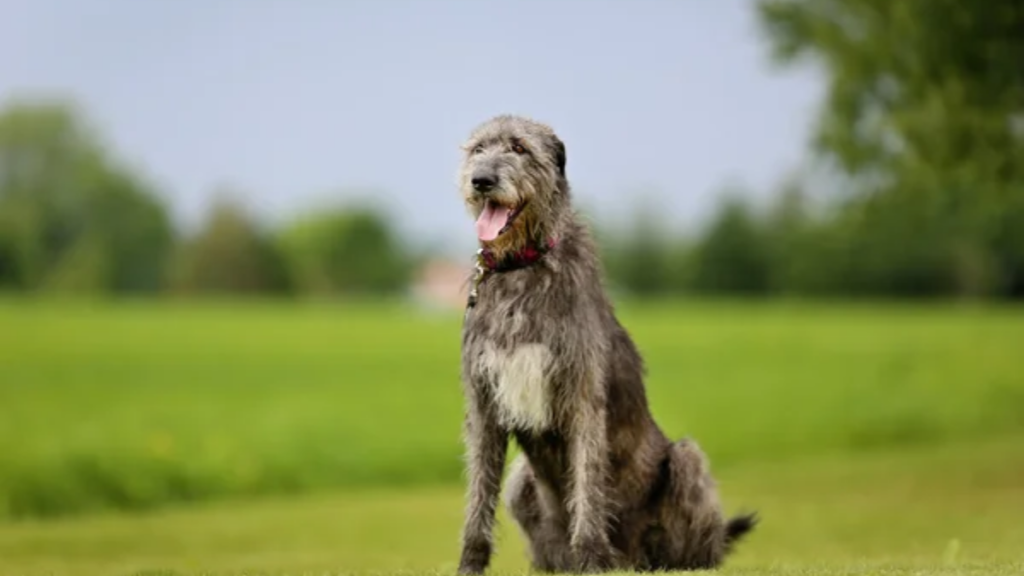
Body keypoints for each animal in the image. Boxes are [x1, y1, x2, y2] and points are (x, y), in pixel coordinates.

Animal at [452, 114, 757, 569]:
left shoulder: (581, 395)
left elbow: (587, 483)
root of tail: (633, 558)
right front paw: (470, 564)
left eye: (519, 148)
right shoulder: (484, 402)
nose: (482, 180)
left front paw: (592, 558)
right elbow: (478, 494)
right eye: (477, 149)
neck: (522, 267)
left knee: (694, 540)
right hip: (522, 481)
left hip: (686, 463)